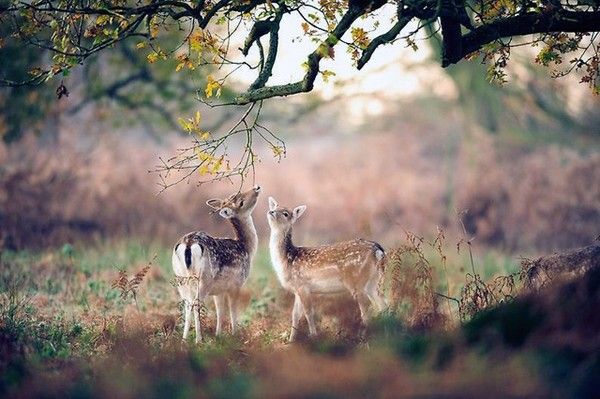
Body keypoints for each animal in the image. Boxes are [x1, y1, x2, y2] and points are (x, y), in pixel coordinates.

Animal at [171, 186, 260, 342]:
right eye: (241, 201)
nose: (256, 187)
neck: (246, 247)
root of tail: (188, 244)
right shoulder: (236, 284)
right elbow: (232, 309)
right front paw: (234, 335)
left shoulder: (219, 290)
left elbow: (220, 310)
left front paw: (218, 335)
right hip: (204, 278)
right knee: (196, 303)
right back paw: (199, 339)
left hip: (180, 278)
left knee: (187, 303)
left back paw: (184, 339)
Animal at [268, 197, 390, 340]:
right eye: (275, 207)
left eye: (286, 213)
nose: (271, 212)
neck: (288, 260)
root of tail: (379, 250)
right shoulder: (297, 289)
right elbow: (295, 315)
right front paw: (291, 340)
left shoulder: (303, 285)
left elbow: (308, 312)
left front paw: (313, 336)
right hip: (373, 281)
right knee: (383, 304)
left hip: (356, 280)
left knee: (366, 307)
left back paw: (363, 338)